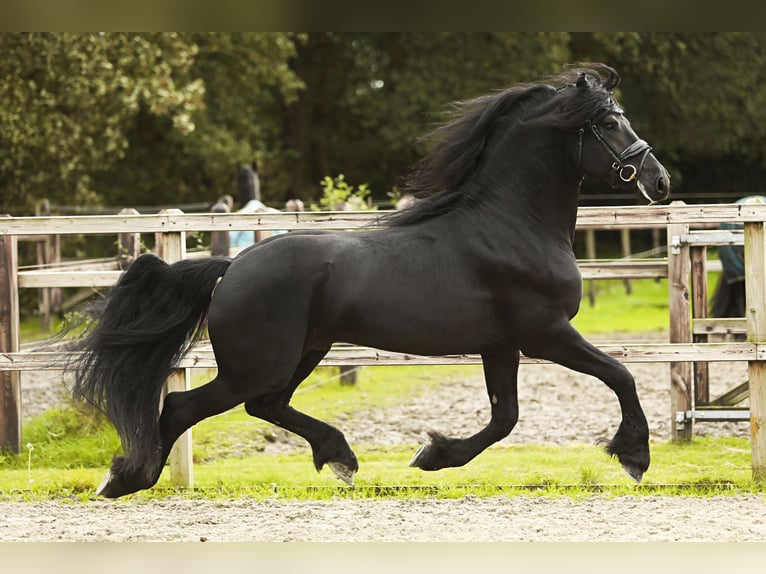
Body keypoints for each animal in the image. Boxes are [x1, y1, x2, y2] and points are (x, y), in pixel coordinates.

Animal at [72, 65, 672, 500]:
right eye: (611, 123)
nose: (659, 180)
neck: (511, 225)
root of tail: (234, 267)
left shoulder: (502, 345)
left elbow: (505, 417)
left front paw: (433, 455)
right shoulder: (546, 333)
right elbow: (621, 376)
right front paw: (634, 457)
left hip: (304, 351)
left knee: (265, 406)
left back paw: (338, 457)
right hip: (258, 362)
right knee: (187, 407)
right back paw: (124, 480)